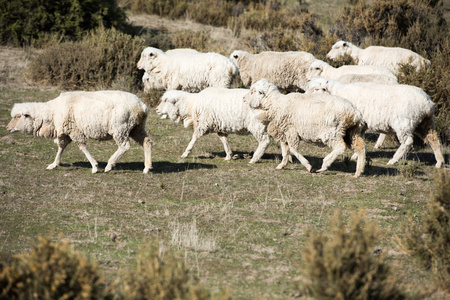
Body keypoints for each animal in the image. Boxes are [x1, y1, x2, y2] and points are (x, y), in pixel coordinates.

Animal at [5, 91, 153, 173]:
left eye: (17, 116)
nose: (7, 128)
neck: (52, 112)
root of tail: (142, 106)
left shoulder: (74, 130)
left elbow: (82, 147)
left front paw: (94, 166)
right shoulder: (66, 131)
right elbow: (61, 147)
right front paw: (54, 164)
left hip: (120, 128)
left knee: (124, 146)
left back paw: (109, 165)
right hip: (136, 128)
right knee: (147, 143)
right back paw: (146, 168)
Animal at [306, 77, 442, 168]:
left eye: (319, 89)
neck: (337, 93)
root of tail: (427, 103)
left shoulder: (357, 124)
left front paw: (356, 155)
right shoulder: (361, 125)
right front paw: (357, 155)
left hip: (404, 123)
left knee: (407, 142)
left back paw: (393, 160)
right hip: (424, 123)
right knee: (433, 139)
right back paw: (439, 162)